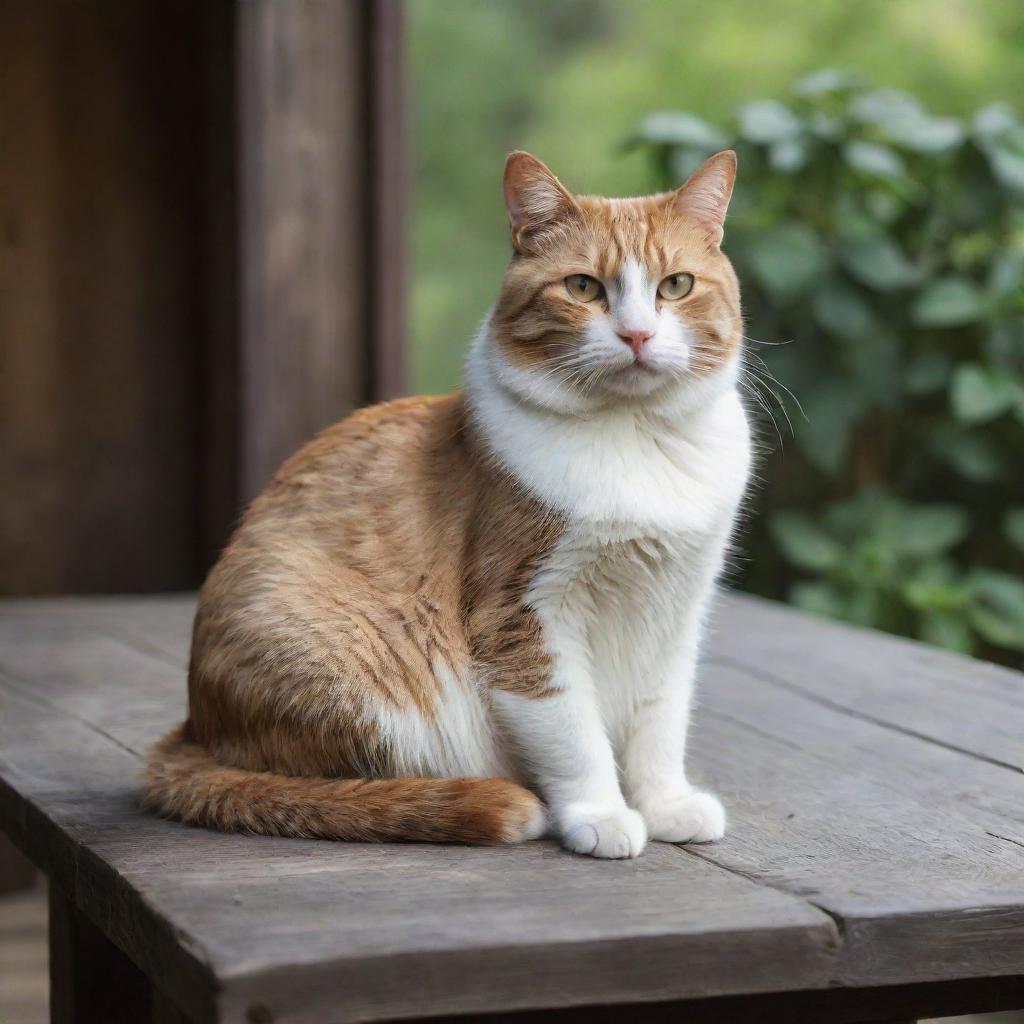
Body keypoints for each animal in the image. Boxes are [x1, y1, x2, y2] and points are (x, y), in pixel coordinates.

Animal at [146, 148, 753, 860]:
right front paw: (601, 814)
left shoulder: (675, 612)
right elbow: (574, 732)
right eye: (582, 288)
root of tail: (195, 727)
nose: (636, 334)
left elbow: (660, 723)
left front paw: (665, 805)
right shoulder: (522, 617)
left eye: (676, 285)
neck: (634, 441)